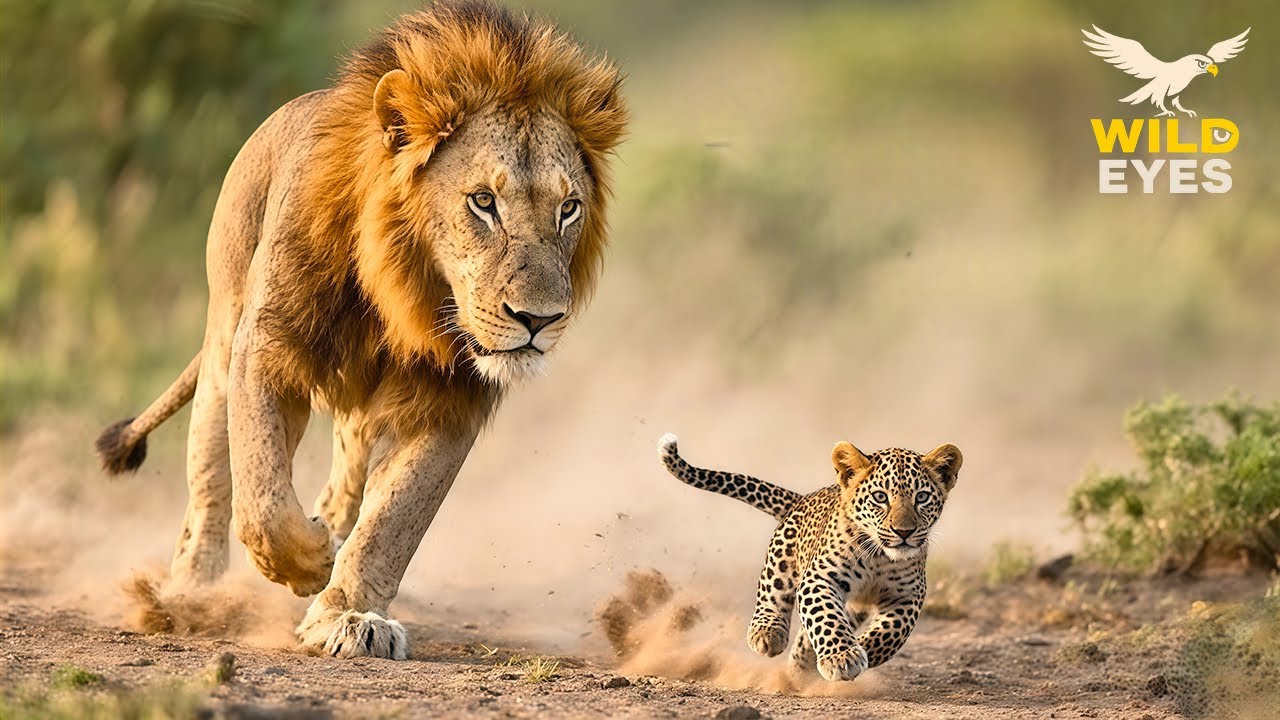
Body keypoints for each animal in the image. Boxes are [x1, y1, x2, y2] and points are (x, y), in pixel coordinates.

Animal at [93, 0, 626, 659]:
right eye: (482, 202)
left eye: (568, 208)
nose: (539, 320)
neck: (403, 294)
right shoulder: (264, 352)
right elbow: (262, 498)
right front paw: (307, 563)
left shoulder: (452, 400)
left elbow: (393, 520)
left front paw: (348, 613)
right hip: (222, 343)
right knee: (212, 484)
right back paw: (189, 597)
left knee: (348, 476)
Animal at [657, 432, 962, 681]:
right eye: (880, 497)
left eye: (921, 497)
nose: (904, 532)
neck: (880, 557)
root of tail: (803, 498)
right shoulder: (820, 578)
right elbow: (825, 617)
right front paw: (843, 657)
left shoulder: (908, 596)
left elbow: (890, 634)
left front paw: (860, 649)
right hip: (782, 558)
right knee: (771, 592)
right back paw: (768, 634)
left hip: (854, 605)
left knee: (812, 633)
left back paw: (802, 665)